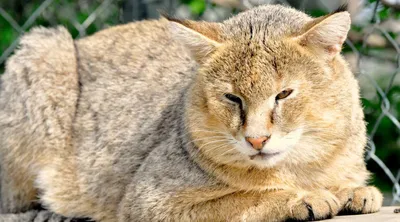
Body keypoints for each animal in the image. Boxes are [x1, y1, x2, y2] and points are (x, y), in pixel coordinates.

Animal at [0, 3, 382, 222]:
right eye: (232, 97)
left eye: (284, 94)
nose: (256, 140)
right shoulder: (146, 202)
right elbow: (240, 198)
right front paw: (302, 197)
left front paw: (351, 190)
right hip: (46, 50)